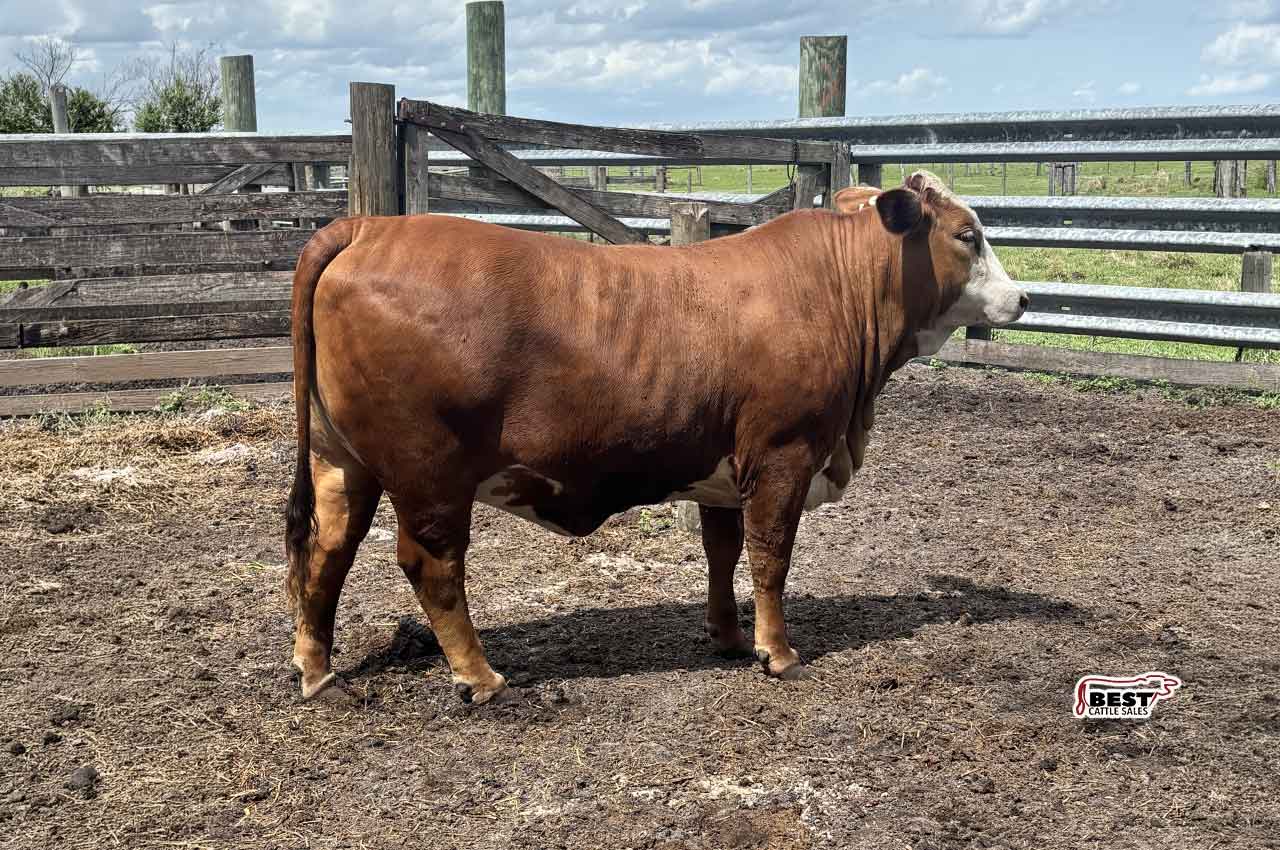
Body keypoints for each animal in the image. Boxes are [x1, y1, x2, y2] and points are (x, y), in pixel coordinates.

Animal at [284, 169, 1027, 704]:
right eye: (967, 234)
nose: (1022, 298)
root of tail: (366, 227)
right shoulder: (782, 457)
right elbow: (771, 558)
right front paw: (778, 653)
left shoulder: (725, 473)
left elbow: (723, 553)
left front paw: (729, 637)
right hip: (429, 472)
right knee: (431, 565)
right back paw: (480, 677)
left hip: (342, 460)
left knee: (327, 552)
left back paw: (317, 668)